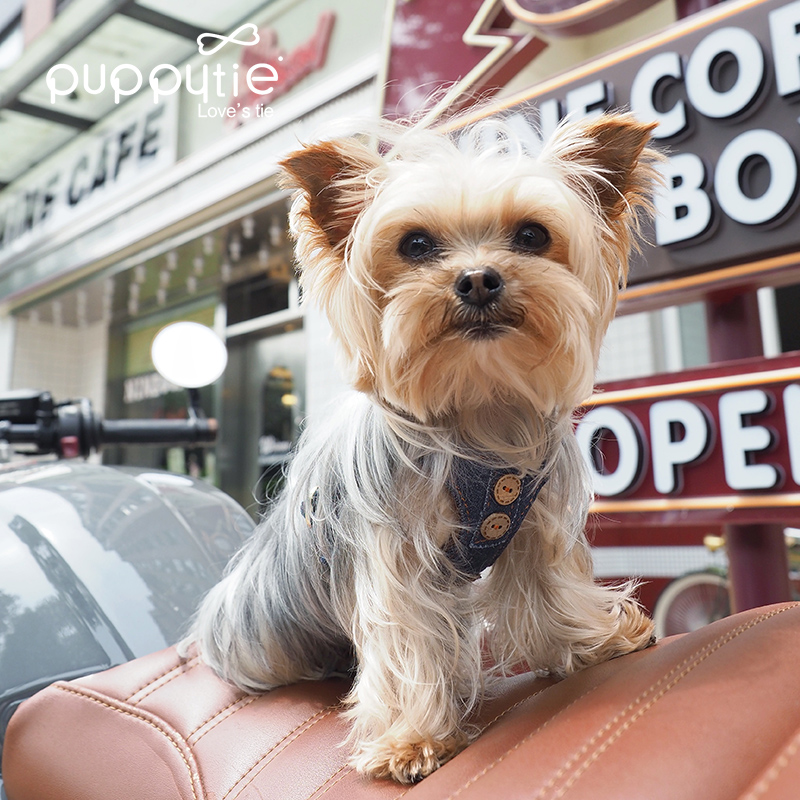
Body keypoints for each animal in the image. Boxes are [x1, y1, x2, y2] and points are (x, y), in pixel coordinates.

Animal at [189, 111, 664, 780]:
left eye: (532, 235)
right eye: (414, 245)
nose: (479, 279)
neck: (477, 410)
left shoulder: (532, 519)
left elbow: (545, 587)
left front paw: (592, 642)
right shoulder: (396, 547)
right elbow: (407, 632)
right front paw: (411, 741)